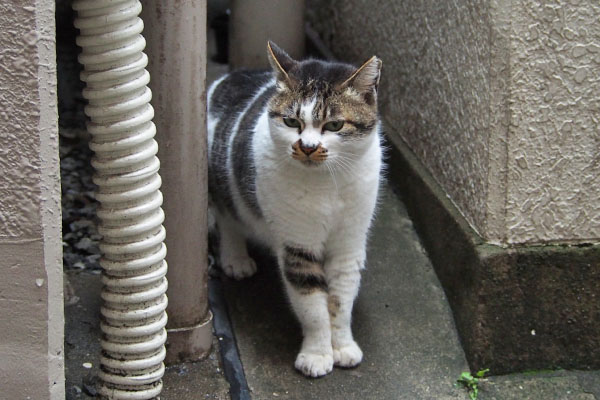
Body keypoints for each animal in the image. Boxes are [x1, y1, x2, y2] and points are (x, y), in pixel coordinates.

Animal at [207, 42, 384, 376]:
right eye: (292, 122)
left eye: (335, 125)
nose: (308, 147)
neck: (327, 185)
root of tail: (229, 76)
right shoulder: (297, 245)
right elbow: (312, 306)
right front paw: (317, 354)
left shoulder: (349, 245)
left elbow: (340, 302)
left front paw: (342, 347)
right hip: (220, 180)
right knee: (228, 218)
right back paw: (236, 258)